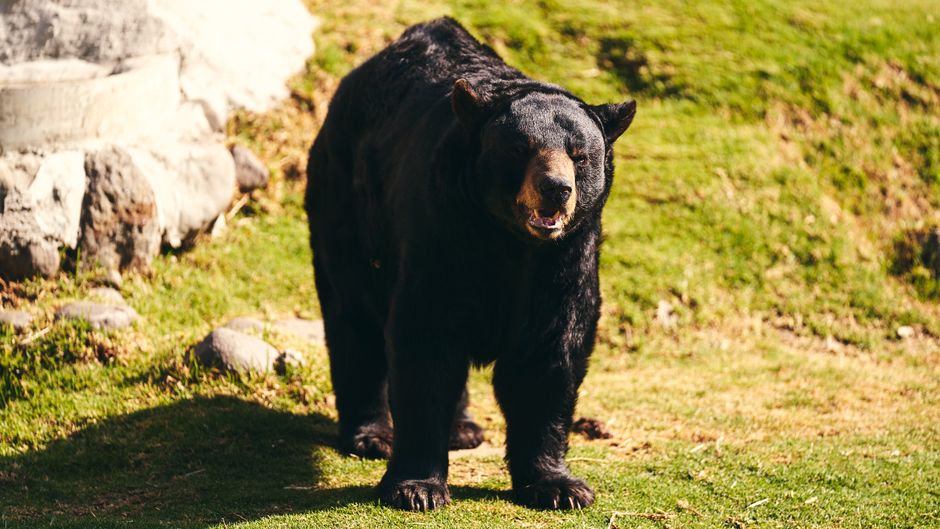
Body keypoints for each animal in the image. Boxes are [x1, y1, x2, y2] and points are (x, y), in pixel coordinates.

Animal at [305, 17, 636, 511]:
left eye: (580, 155)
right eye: (522, 149)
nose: (556, 189)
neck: (509, 240)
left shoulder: (564, 258)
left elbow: (551, 352)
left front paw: (559, 485)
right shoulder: (444, 231)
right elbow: (425, 340)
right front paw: (417, 487)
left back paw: (462, 428)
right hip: (347, 204)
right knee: (354, 316)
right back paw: (371, 434)